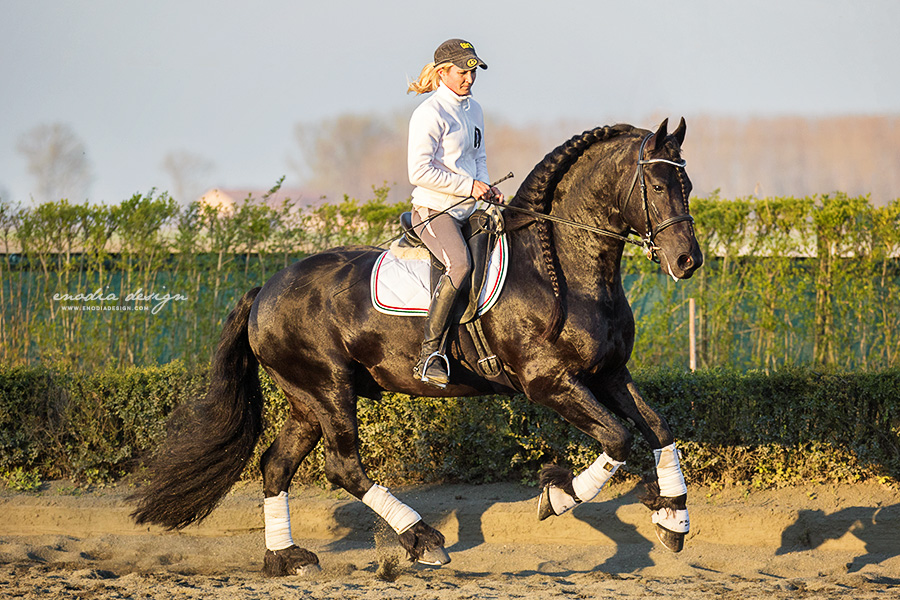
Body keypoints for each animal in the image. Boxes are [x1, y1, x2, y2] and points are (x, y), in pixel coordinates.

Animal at [128, 118, 704, 576]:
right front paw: (559, 493)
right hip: (329, 389)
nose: (687, 261)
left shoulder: (608, 373)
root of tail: (264, 290)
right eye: (656, 184)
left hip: (306, 400)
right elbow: (618, 438)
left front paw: (673, 516)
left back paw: (287, 558)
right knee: (343, 467)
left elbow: (658, 427)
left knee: (275, 465)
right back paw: (421, 539)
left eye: (688, 183)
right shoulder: (548, 383)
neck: (563, 268)